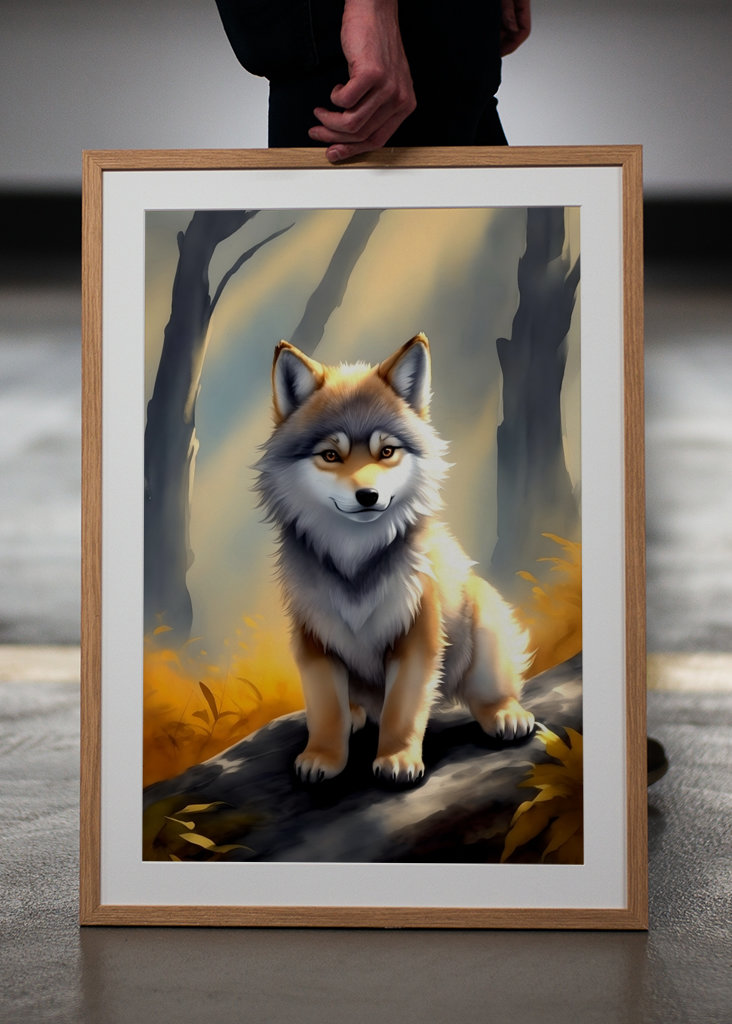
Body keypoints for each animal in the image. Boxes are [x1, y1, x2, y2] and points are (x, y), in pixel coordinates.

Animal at [255, 333, 535, 784]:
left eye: (386, 451)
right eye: (330, 456)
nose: (367, 495)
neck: (355, 562)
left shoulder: (416, 635)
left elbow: (402, 710)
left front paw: (398, 758)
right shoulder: (314, 639)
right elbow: (325, 710)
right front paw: (323, 757)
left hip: (482, 617)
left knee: (486, 692)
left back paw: (505, 714)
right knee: (355, 708)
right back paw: (356, 714)